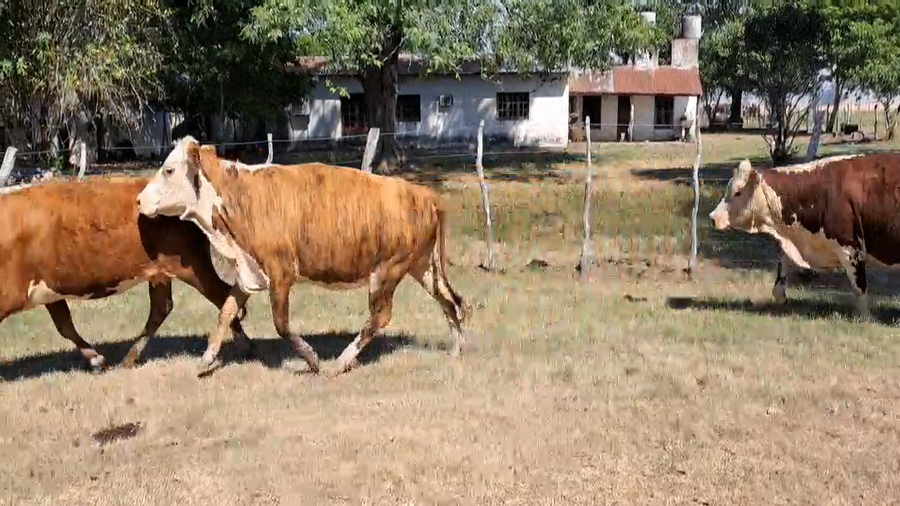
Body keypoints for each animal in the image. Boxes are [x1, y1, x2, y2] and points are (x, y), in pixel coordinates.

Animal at [0, 176, 253, 372]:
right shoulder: (51, 290)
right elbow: (65, 325)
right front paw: (96, 359)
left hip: (191, 264)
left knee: (223, 296)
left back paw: (241, 346)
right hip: (161, 271)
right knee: (162, 307)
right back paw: (131, 357)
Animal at [135, 136, 471, 376]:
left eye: (169, 170)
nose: (139, 200)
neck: (240, 196)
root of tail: (424, 194)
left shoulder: (281, 272)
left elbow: (281, 324)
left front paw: (312, 359)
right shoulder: (249, 271)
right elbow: (226, 312)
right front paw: (206, 360)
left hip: (387, 271)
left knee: (381, 317)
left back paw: (341, 362)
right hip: (423, 266)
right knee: (450, 301)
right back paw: (457, 350)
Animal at [708, 153, 900, 321]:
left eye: (738, 192)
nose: (712, 217)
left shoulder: (850, 247)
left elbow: (859, 285)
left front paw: (866, 317)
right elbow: (783, 261)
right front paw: (780, 294)